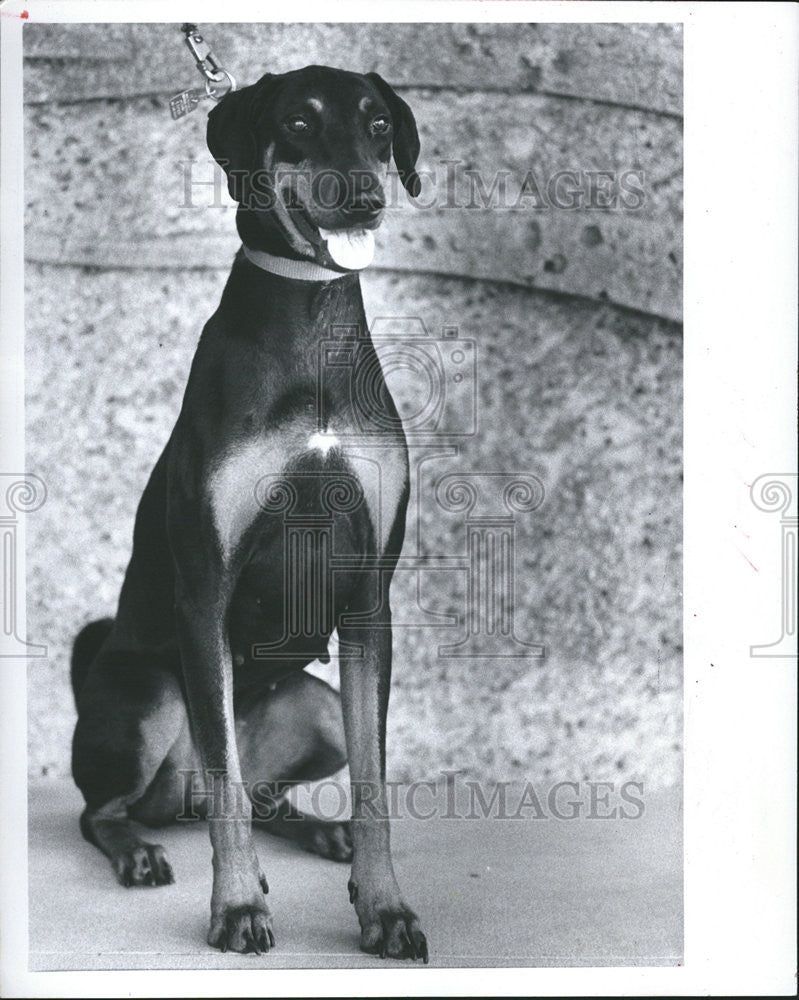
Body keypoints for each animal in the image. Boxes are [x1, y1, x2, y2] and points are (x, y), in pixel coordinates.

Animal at [72, 64, 428, 960]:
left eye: (378, 125)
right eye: (299, 122)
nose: (365, 196)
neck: (310, 321)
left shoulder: (368, 595)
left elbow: (374, 786)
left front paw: (385, 907)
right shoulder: (208, 592)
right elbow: (227, 788)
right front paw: (236, 908)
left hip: (316, 705)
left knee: (262, 793)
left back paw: (319, 832)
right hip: (149, 698)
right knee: (119, 807)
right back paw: (139, 849)